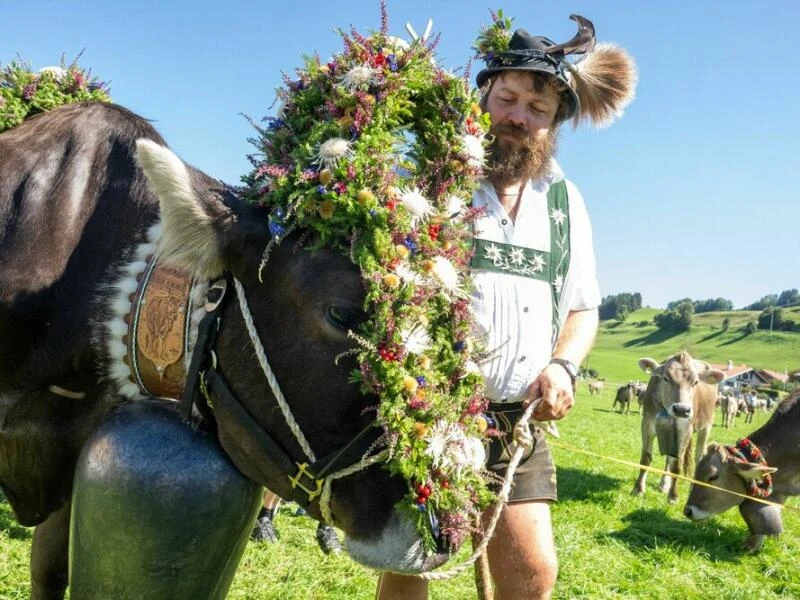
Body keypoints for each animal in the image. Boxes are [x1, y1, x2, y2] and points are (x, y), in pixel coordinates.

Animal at [636, 354, 728, 504]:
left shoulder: (687, 430)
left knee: (699, 456)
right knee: (669, 458)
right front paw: (638, 489)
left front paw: (673, 496)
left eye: (695, 382)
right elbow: (645, 459)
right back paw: (664, 484)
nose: (681, 409)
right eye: (665, 378)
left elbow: (677, 466)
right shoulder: (647, 424)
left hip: (706, 426)